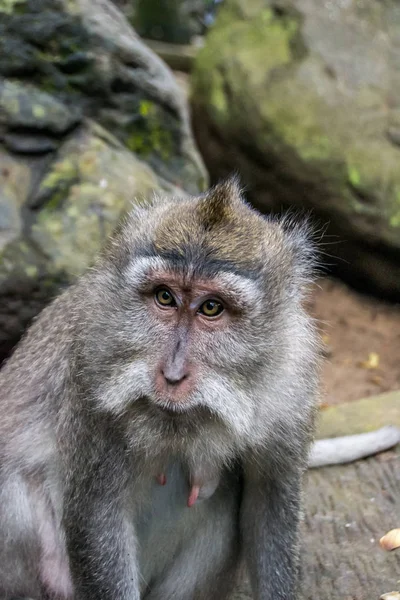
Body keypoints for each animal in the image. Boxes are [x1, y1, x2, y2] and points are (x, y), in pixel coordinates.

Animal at [0, 178, 320, 600]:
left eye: (212, 307)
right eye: (165, 297)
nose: (172, 373)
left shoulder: (292, 385)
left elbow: (268, 503)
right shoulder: (89, 372)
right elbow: (97, 512)